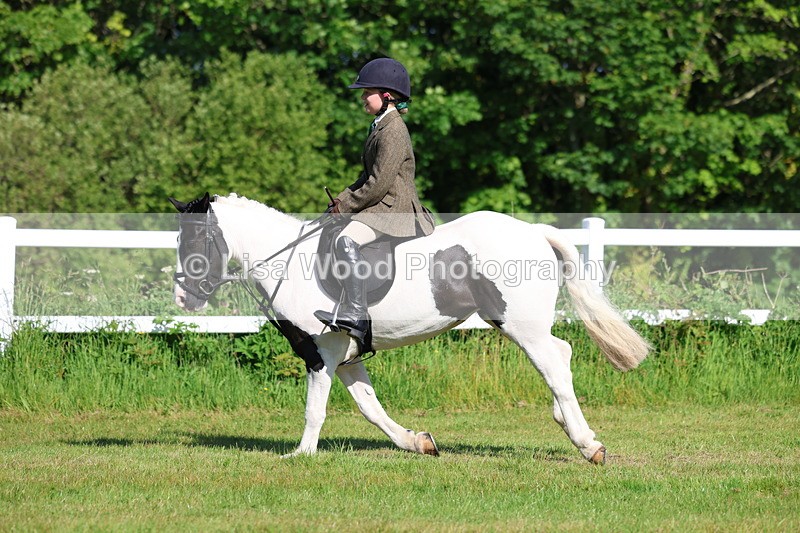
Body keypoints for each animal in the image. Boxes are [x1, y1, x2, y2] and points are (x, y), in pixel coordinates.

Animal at [169, 193, 650, 464]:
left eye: (197, 240)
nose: (184, 299)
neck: (290, 262)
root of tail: (531, 231)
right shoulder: (347, 356)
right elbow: (370, 408)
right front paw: (418, 442)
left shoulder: (322, 351)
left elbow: (315, 409)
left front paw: (300, 455)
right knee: (558, 359)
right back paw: (570, 428)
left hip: (520, 324)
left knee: (553, 362)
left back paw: (588, 444)